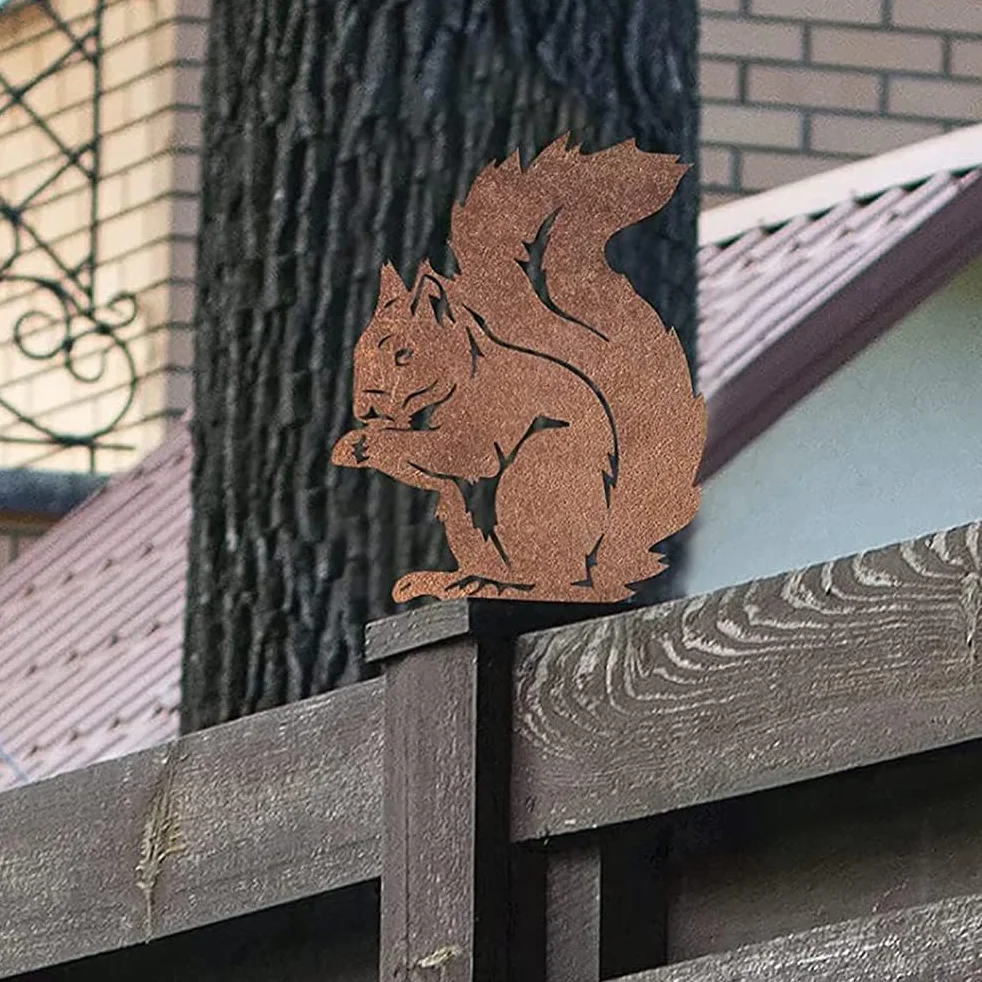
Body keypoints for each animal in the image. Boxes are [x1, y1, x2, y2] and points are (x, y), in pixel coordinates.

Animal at [331, 135, 706, 604]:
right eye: (359, 356)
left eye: (404, 354)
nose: (364, 410)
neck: (463, 374)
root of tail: (594, 574)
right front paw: (352, 446)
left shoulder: (497, 405)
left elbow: (468, 454)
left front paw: (374, 443)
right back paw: (452, 579)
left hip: (536, 475)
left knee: (543, 576)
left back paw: (504, 582)